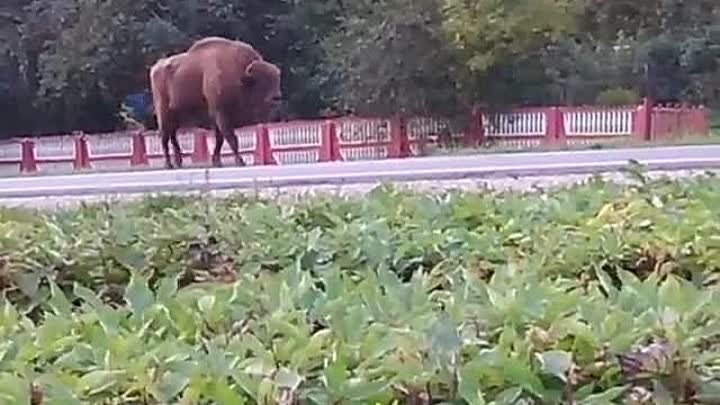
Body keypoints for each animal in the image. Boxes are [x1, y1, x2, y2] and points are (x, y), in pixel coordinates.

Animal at [149, 34, 282, 167]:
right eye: (262, 80)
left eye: (276, 79)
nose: (276, 97)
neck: (241, 76)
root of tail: (156, 67)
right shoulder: (222, 115)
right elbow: (231, 138)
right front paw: (240, 161)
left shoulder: (218, 119)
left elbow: (220, 140)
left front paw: (217, 161)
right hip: (164, 115)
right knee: (164, 138)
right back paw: (168, 164)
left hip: (175, 118)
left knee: (172, 137)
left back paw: (178, 162)